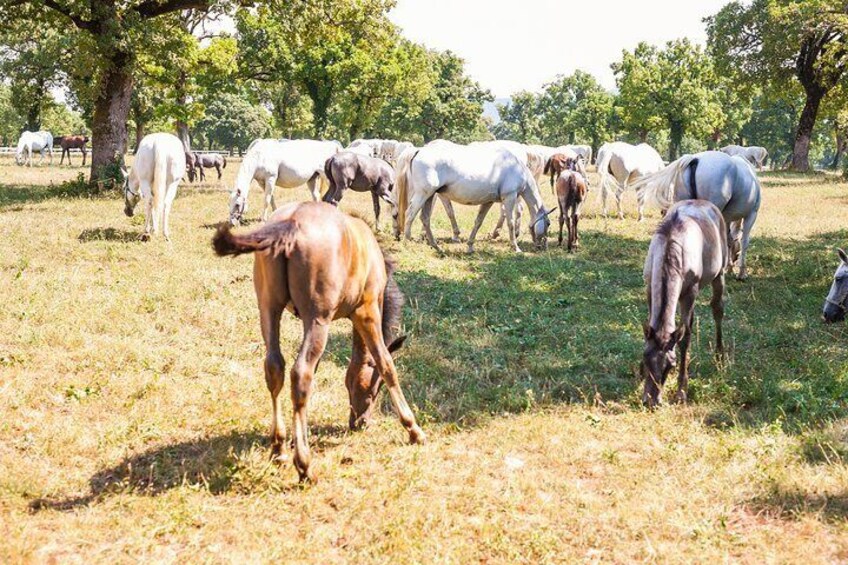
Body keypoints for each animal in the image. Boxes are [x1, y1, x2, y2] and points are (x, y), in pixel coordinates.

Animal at [212, 200, 424, 478]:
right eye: (374, 388)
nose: (359, 423)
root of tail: (292, 222)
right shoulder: (367, 311)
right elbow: (386, 364)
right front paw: (413, 429)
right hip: (318, 319)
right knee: (300, 373)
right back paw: (303, 464)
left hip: (268, 308)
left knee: (275, 368)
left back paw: (279, 449)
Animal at [396, 141, 552, 253]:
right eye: (548, 223)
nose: (543, 247)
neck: (516, 167)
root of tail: (419, 150)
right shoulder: (510, 197)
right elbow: (511, 223)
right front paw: (516, 247)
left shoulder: (488, 201)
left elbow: (478, 222)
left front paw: (470, 246)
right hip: (423, 194)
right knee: (409, 214)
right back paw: (407, 242)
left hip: (430, 196)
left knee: (425, 219)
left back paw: (436, 247)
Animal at [628, 150, 760, 280]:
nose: (734, 260)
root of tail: (694, 158)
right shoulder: (751, 215)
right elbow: (744, 241)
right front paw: (741, 273)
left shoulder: (727, 218)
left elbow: (729, 240)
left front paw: (729, 267)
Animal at [644, 198, 728, 406]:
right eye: (645, 359)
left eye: (670, 366)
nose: (651, 401)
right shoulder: (649, 288)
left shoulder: (690, 293)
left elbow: (685, 338)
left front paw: (682, 391)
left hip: (719, 274)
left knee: (717, 309)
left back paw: (719, 355)